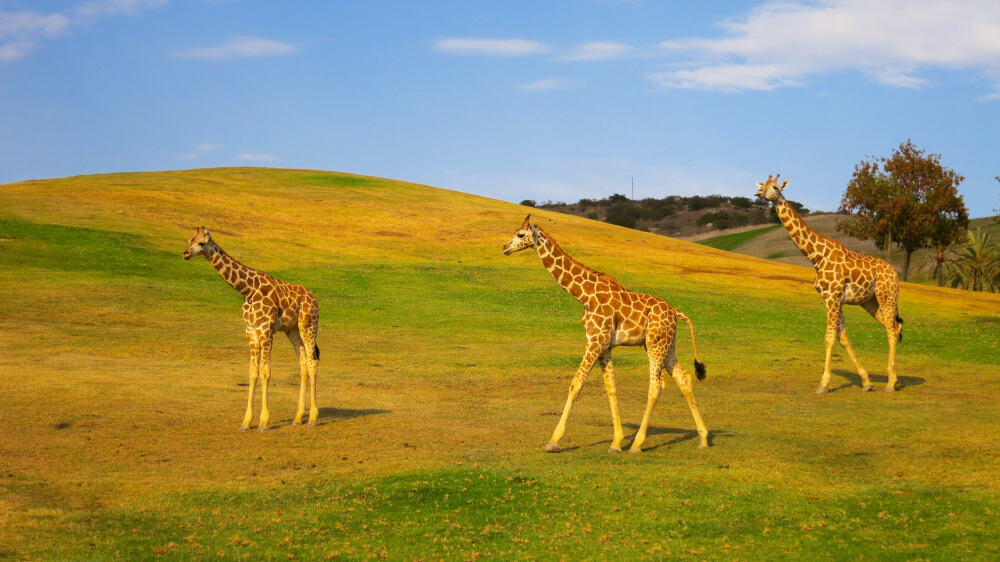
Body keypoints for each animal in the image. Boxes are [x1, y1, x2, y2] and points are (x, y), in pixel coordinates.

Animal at [182, 226, 318, 428]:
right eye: (189, 240)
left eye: (202, 242)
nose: (186, 253)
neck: (248, 290)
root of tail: (315, 299)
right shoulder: (251, 332)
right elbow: (253, 372)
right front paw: (246, 422)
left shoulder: (266, 332)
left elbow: (266, 372)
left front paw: (263, 422)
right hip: (292, 331)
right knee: (303, 364)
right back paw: (298, 417)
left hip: (309, 326)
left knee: (313, 362)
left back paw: (313, 418)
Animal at [504, 212, 708, 452]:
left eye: (520, 234)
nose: (505, 247)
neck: (584, 295)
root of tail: (676, 312)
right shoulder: (604, 344)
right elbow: (611, 387)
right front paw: (616, 442)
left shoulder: (595, 340)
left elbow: (576, 384)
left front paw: (553, 440)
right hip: (665, 344)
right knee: (683, 377)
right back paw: (703, 439)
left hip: (655, 344)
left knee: (656, 386)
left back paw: (637, 444)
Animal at [752, 173, 904, 392]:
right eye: (762, 185)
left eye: (775, 187)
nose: (758, 193)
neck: (816, 257)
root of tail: (895, 273)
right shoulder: (832, 298)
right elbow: (843, 337)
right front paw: (866, 382)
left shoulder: (832, 297)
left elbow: (830, 337)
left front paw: (823, 384)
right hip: (869, 301)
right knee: (893, 326)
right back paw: (893, 377)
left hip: (887, 295)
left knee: (892, 329)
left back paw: (891, 383)